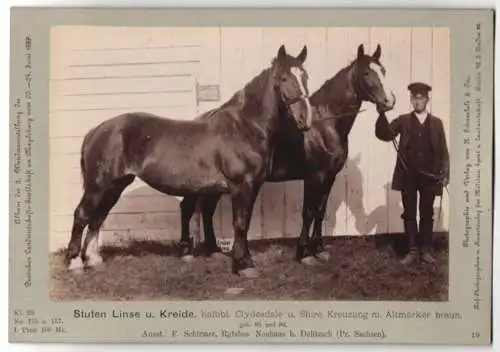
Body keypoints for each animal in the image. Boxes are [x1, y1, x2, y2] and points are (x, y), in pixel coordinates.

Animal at [63, 44, 312, 278]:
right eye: (284, 78)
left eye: (305, 76)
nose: (305, 118)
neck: (244, 126)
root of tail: (97, 130)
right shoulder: (241, 186)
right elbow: (240, 224)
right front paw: (243, 266)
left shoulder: (251, 186)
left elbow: (245, 223)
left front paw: (245, 261)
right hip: (99, 185)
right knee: (82, 214)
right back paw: (74, 263)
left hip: (115, 185)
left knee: (98, 216)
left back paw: (93, 260)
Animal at [179, 44, 394, 270]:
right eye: (366, 73)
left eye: (383, 70)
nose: (389, 101)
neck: (324, 126)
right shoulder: (314, 176)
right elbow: (308, 213)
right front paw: (304, 253)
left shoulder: (329, 177)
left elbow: (320, 210)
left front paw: (319, 249)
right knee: (192, 207)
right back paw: (188, 252)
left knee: (205, 209)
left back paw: (212, 251)